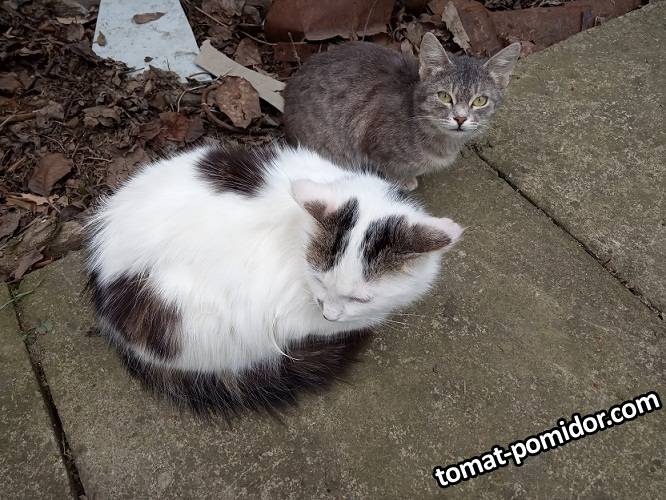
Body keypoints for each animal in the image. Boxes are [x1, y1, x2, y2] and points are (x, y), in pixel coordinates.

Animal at [283, 32, 521, 191]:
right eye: (444, 96)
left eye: (480, 100)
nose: (460, 118)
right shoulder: (374, 146)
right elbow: (391, 169)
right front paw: (405, 181)